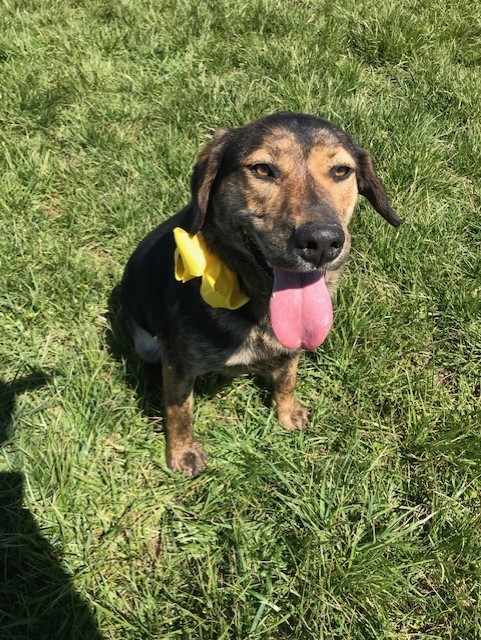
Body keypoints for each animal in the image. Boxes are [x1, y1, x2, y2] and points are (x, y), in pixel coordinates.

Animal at [122, 112, 400, 478]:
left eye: (341, 170)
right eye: (263, 169)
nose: (322, 242)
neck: (252, 296)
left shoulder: (291, 347)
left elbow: (288, 377)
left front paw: (287, 412)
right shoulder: (177, 361)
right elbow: (179, 408)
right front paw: (181, 452)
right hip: (146, 343)